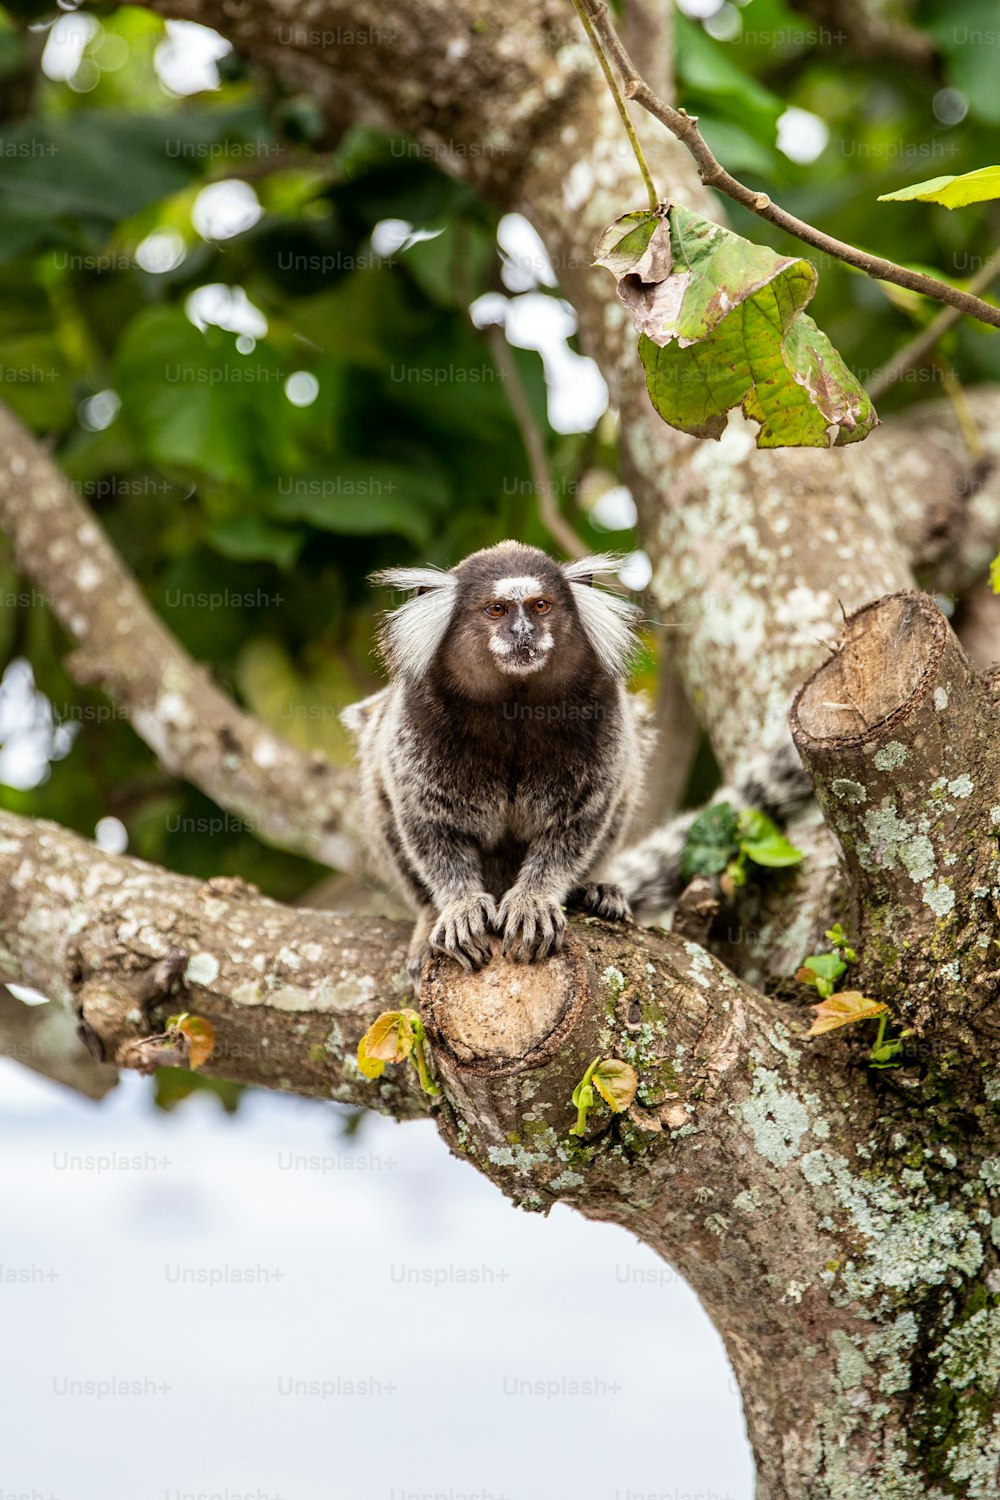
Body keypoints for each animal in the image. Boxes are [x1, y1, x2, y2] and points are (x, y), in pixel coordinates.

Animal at [340, 543, 644, 984]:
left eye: (540, 605)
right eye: (497, 610)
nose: (523, 632)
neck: (512, 703)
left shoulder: (603, 710)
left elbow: (577, 822)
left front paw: (534, 900)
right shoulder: (416, 719)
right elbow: (429, 826)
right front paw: (459, 907)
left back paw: (595, 890)